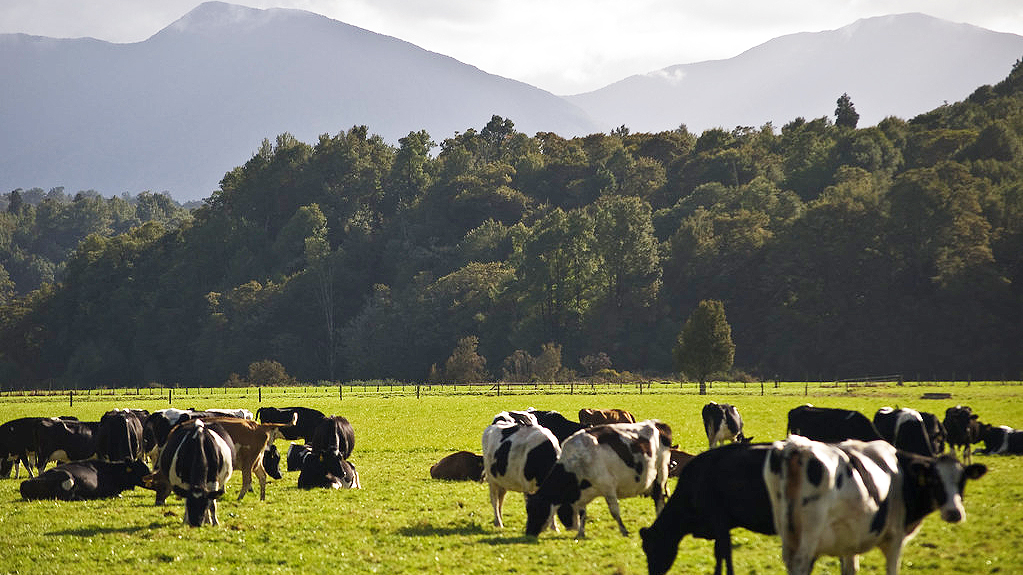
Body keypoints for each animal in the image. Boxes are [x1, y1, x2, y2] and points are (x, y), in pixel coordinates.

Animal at [523, 415, 675, 536]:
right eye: (528, 510)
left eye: (537, 509)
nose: (529, 533)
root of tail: (659, 424)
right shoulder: (583, 493)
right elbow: (582, 513)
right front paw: (580, 533)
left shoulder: (608, 486)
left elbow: (614, 511)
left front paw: (624, 530)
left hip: (660, 475)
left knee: (659, 499)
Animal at [765, 433, 986, 572]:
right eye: (934, 480)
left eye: (962, 481)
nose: (954, 513)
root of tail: (797, 447)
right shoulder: (895, 538)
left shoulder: (849, 542)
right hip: (809, 537)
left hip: (788, 535)